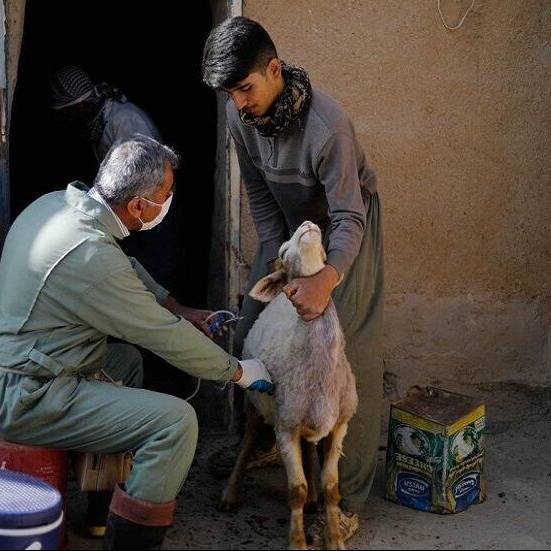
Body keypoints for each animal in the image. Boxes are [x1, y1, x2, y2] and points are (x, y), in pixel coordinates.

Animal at [220, 221, 358, 551]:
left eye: (324, 254)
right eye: (283, 249)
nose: (307, 224)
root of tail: (280, 297)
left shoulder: (339, 425)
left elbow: (331, 487)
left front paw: (334, 538)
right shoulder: (285, 427)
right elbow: (295, 489)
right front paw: (298, 542)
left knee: (308, 451)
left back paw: (313, 501)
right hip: (256, 405)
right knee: (247, 444)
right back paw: (230, 494)